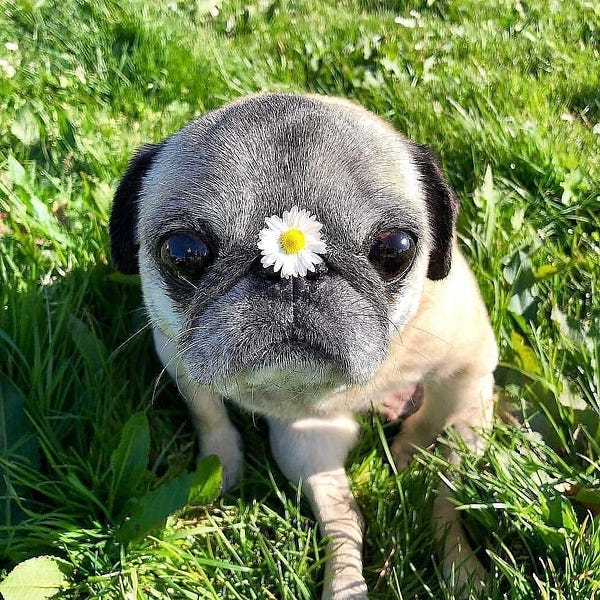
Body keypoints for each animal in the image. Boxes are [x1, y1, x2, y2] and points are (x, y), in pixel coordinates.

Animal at [108, 94, 496, 600]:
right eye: (184, 252)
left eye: (395, 249)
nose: (293, 276)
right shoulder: (177, 355)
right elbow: (209, 415)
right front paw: (220, 466)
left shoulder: (464, 369)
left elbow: (434, 437)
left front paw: (410, 456)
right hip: (303, 445)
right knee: (345, 523)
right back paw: (346, 586)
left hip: (474, 418)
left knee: (447, 497)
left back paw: (462, 571)